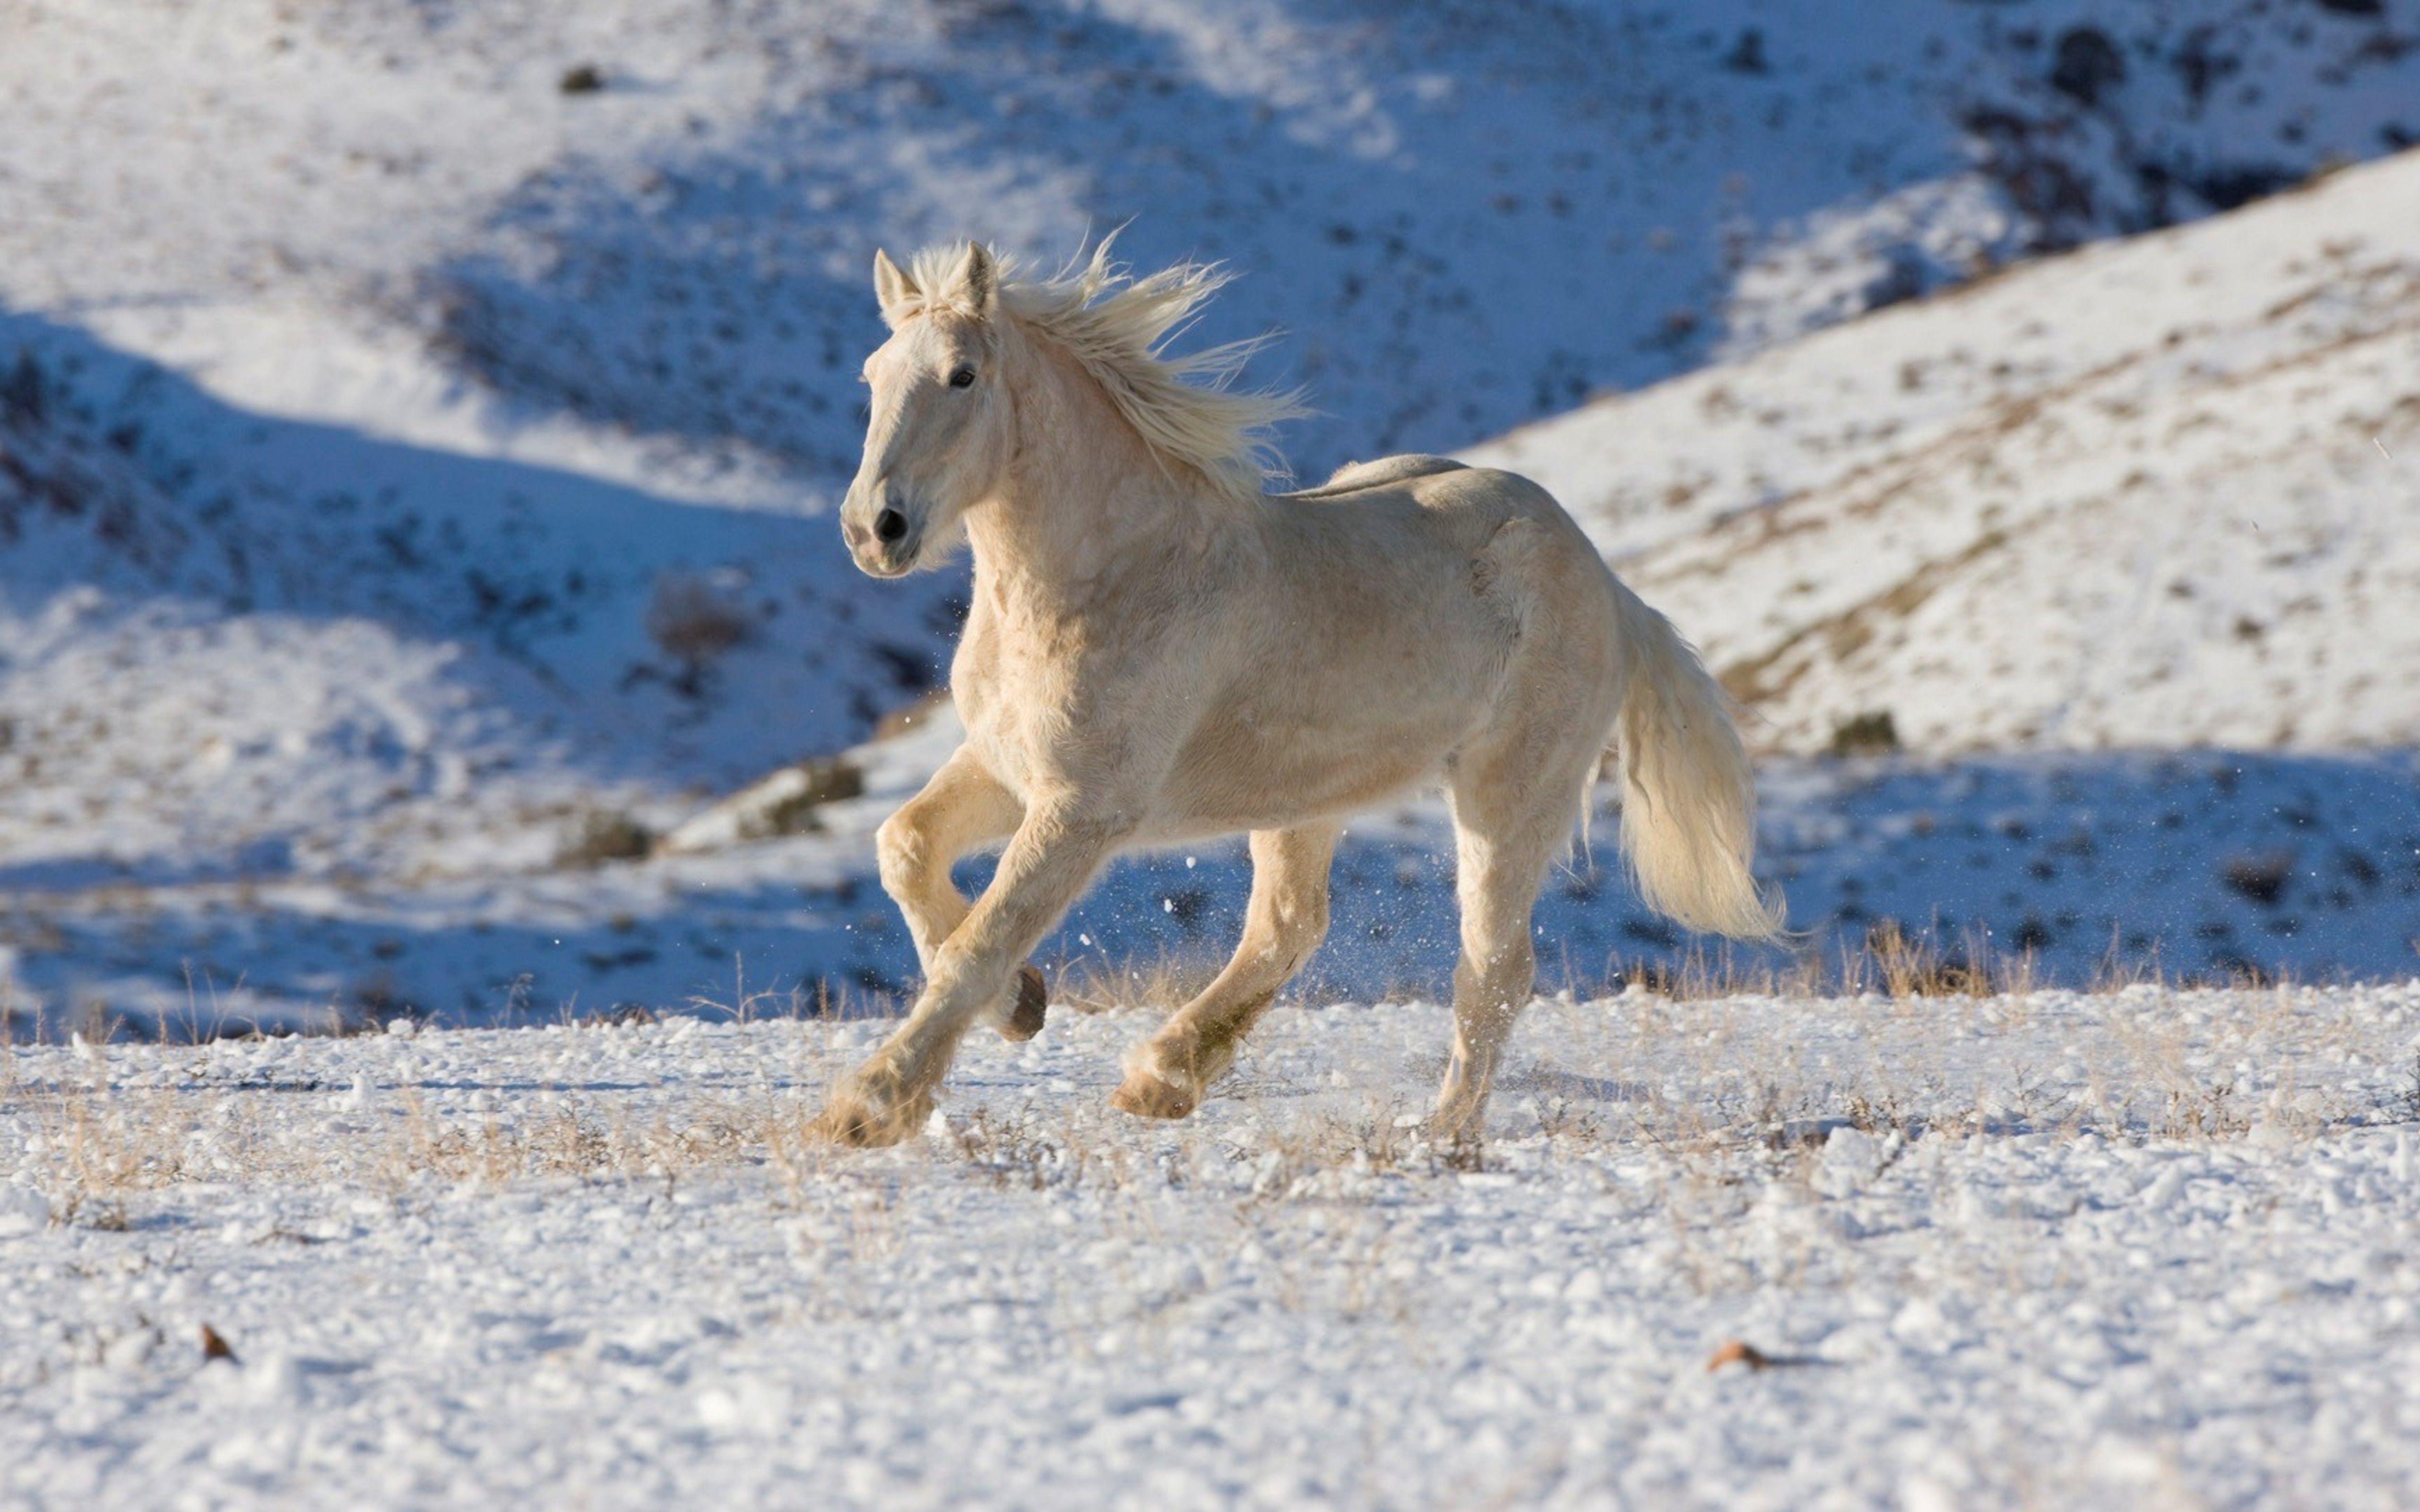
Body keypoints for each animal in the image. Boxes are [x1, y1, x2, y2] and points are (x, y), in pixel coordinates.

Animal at [813, 237, 1781, 1147]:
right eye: (872, 374)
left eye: (963, 374)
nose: (874, 529)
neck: (1113, 574)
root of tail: (1611, 584)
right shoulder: (1007, 765)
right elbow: (906, 850)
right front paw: (1022, 1005)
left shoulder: (1085, 806)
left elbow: (981, 940)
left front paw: (869, 1107)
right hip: (1304, 798)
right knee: (1290, 925)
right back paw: (1161, 1081)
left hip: (1510, 795)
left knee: (1494, 970)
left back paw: (1442, 1135)